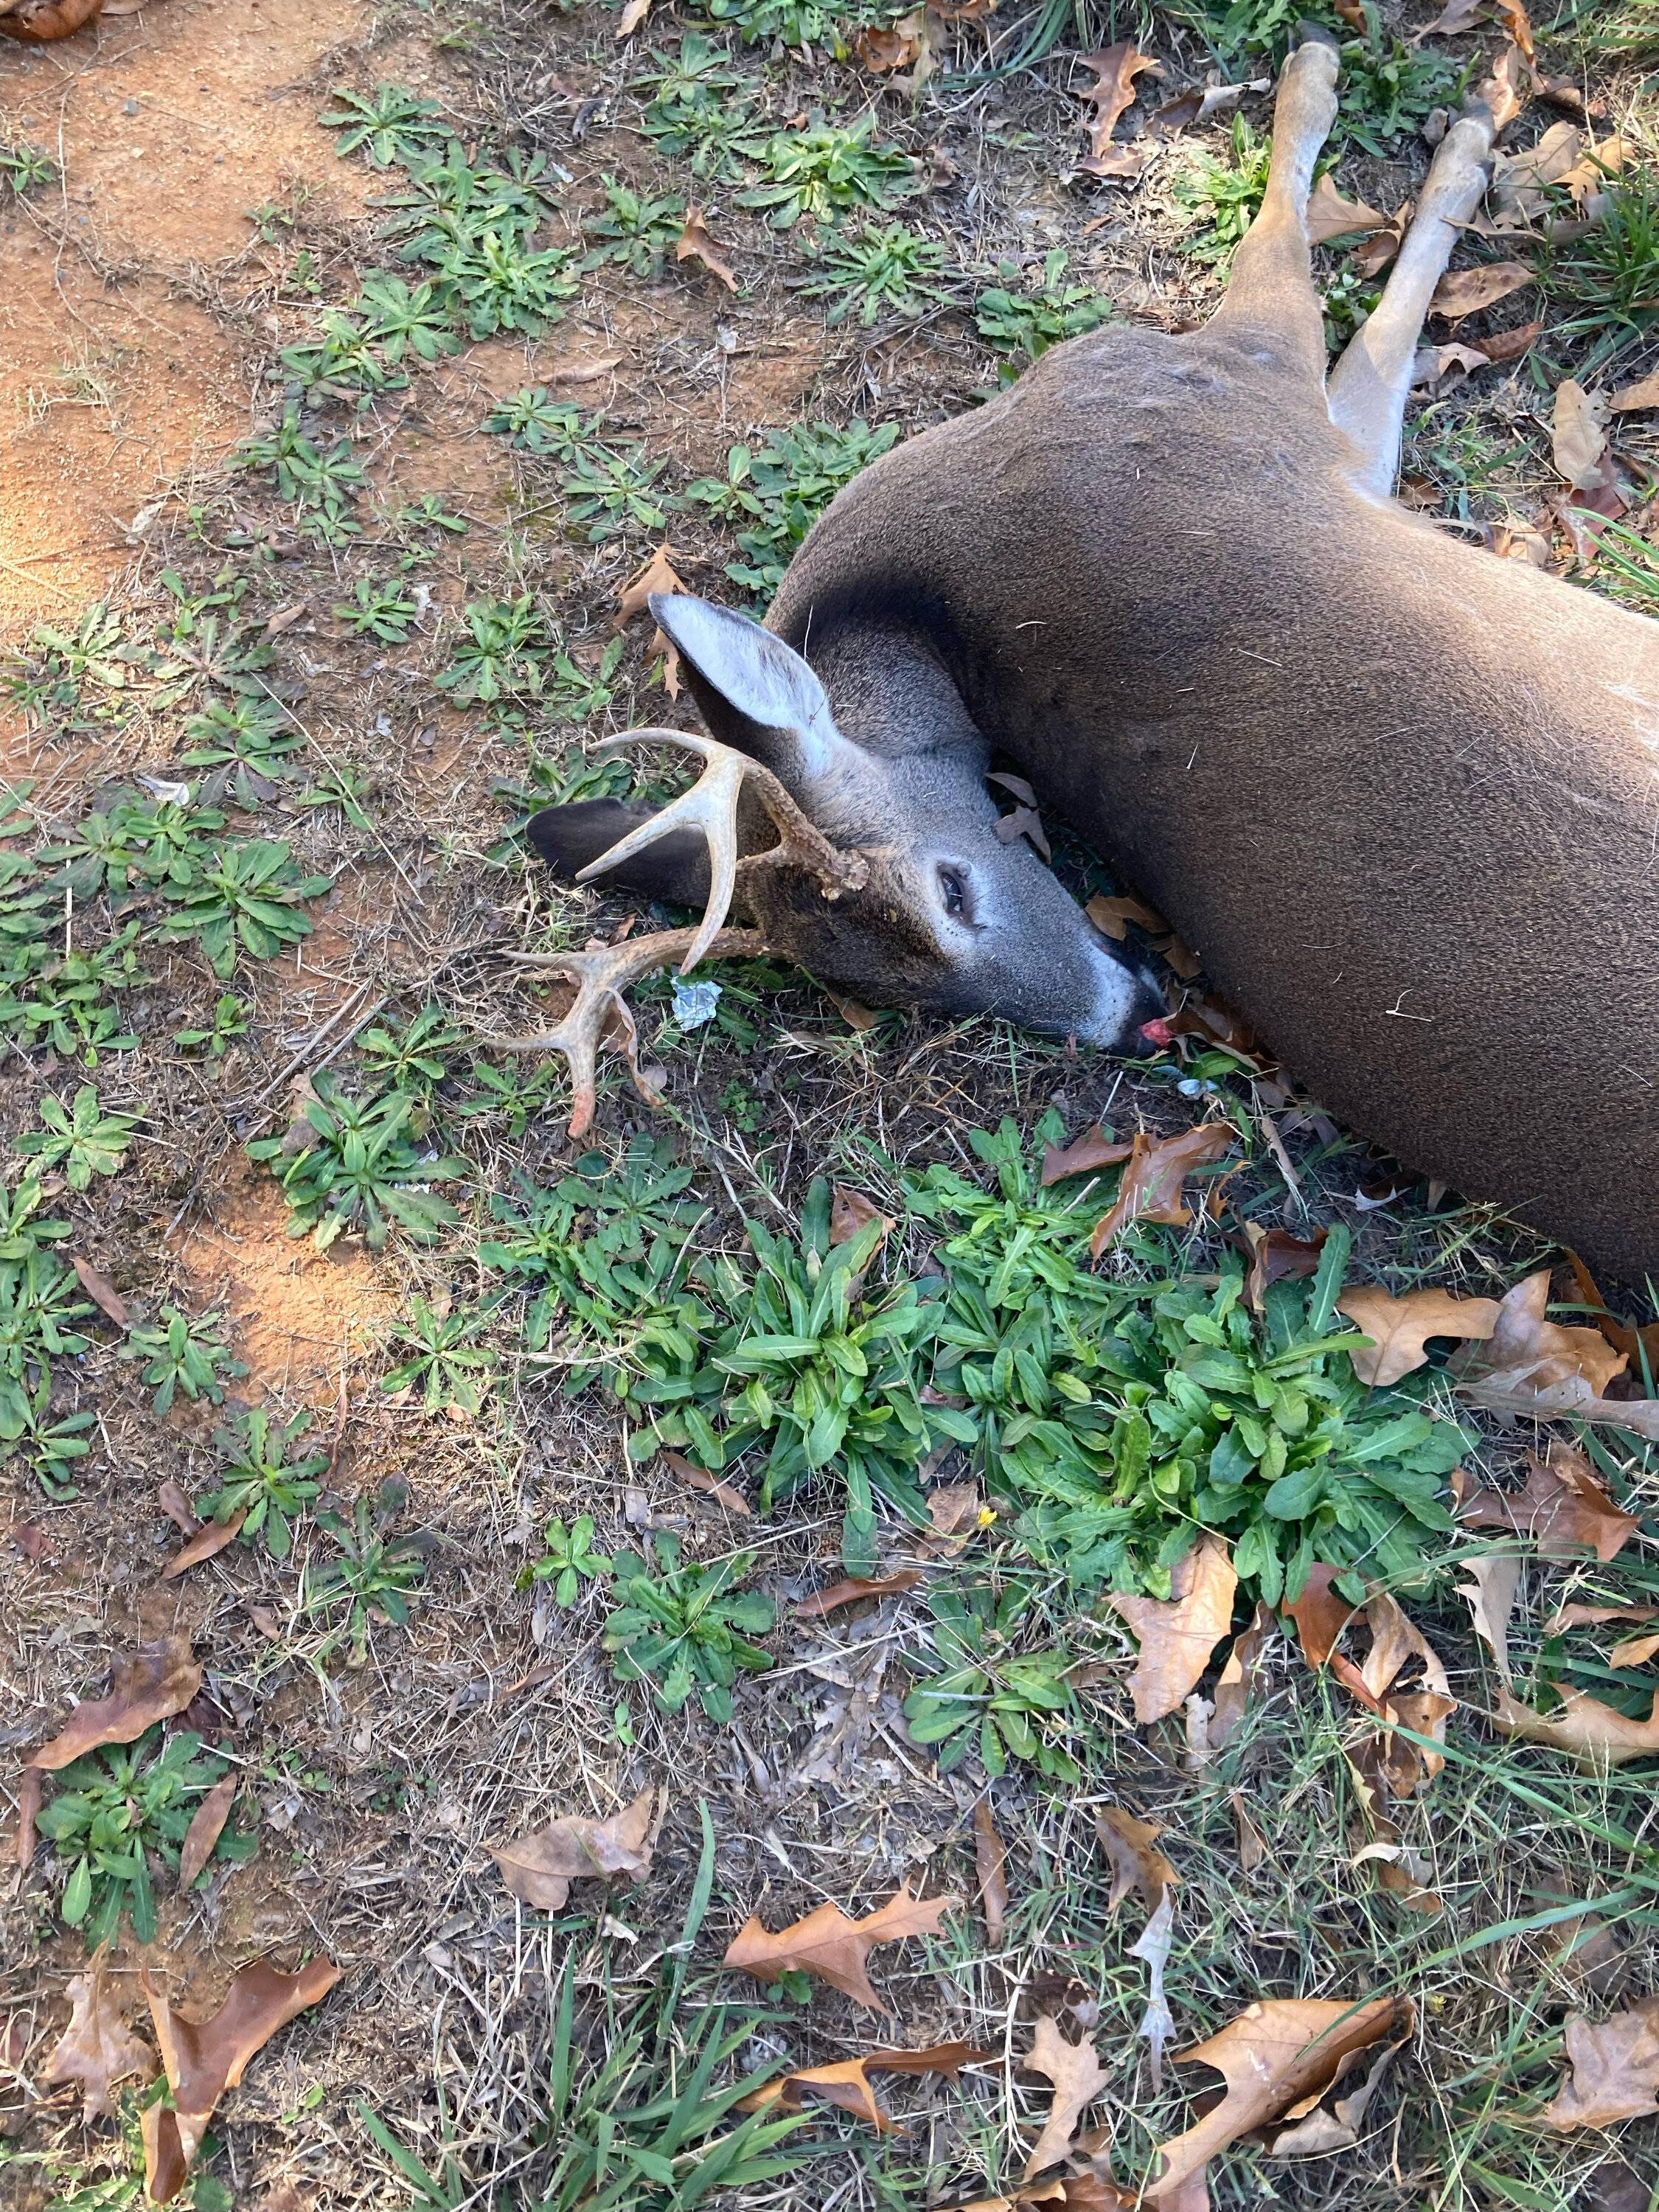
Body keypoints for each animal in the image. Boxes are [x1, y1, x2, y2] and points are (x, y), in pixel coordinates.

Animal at [510, 30, 1659, 1290]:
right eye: (904, 1001)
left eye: (951, 888)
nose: (1138, 1019)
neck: (933, 580)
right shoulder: (1238, 399)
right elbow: (1315, 267)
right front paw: (1424, 114)